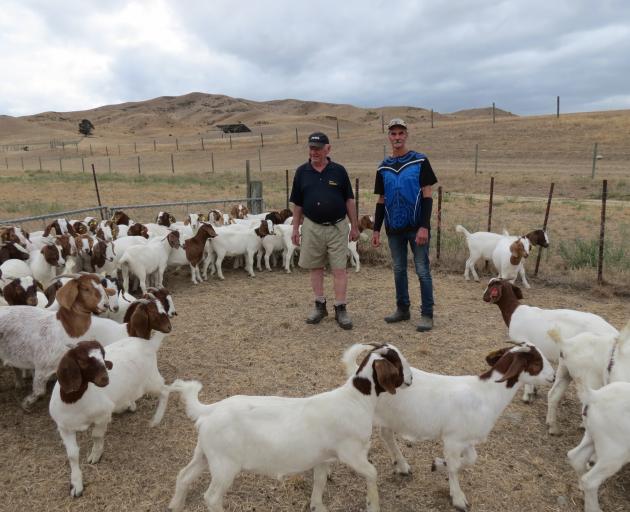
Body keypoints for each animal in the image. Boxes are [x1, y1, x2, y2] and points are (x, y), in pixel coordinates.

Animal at [168, 342, 414, 512]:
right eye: (399, 362)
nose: (411, 379)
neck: (356, 399)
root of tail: (210, 410)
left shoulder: (323, 457)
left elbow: (319, 481)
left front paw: (317, 506)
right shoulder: (351, 453)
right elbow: (372, 472)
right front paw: (373, 505)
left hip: (205, 454)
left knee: (183, 475)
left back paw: (175, 505)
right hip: (225, 464)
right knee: (211, 497)